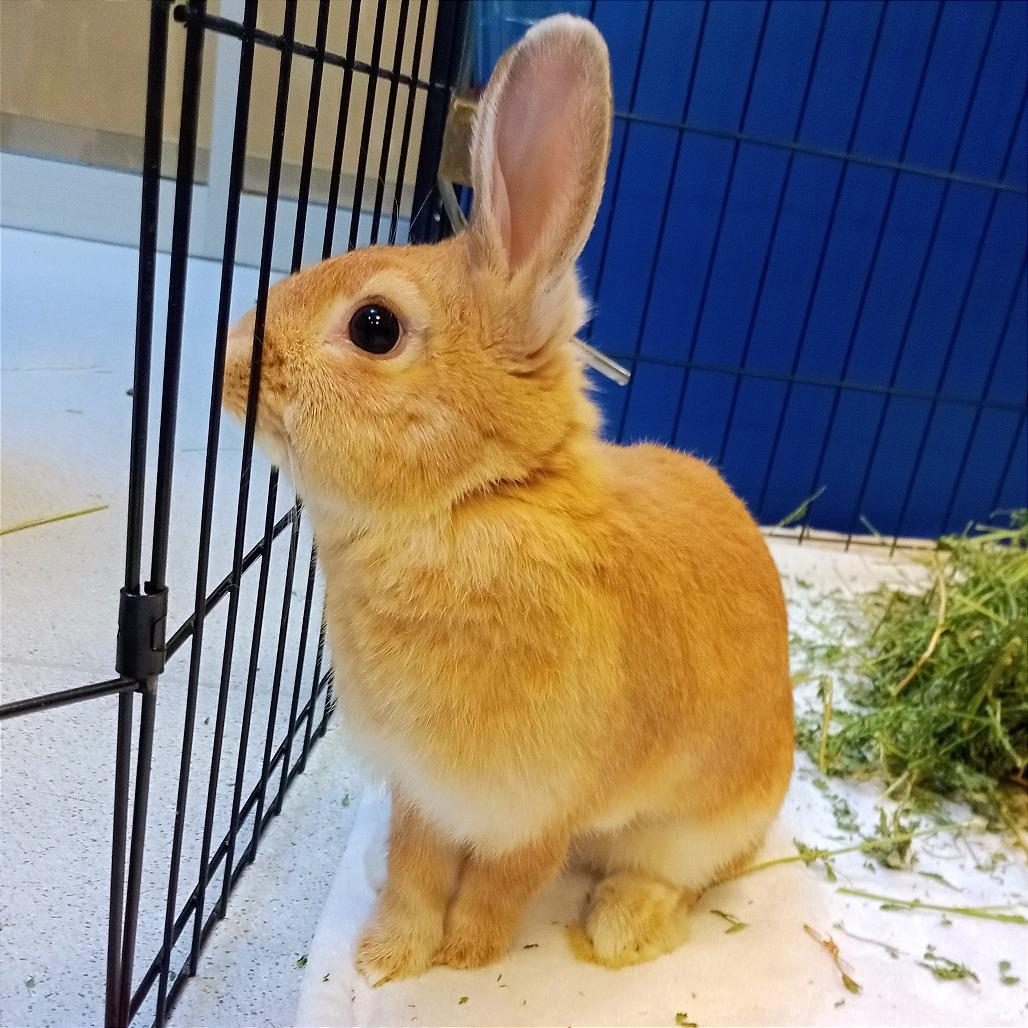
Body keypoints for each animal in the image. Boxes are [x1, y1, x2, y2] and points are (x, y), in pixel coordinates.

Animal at [222, 14, 793, 980]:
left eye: (374, 326)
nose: (229, 369)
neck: (471, 502)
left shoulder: (542, 804)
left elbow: (506, 879)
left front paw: (466, 957)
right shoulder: (422, 790)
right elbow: (414, 866)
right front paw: (389, 956)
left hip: (700, 826)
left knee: (681, 876)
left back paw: (621, 926)